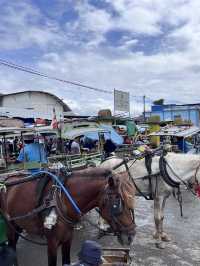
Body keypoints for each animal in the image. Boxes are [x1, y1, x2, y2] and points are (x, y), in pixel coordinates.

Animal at [0, 168, 136, 266]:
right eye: (117, 202)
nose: (131, 236)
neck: (61, 199)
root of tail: (7, 180)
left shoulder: (68, 239)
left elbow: (66, 261)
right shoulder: (52, 243)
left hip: (17, 225)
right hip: (10, 226)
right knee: (11, 248)